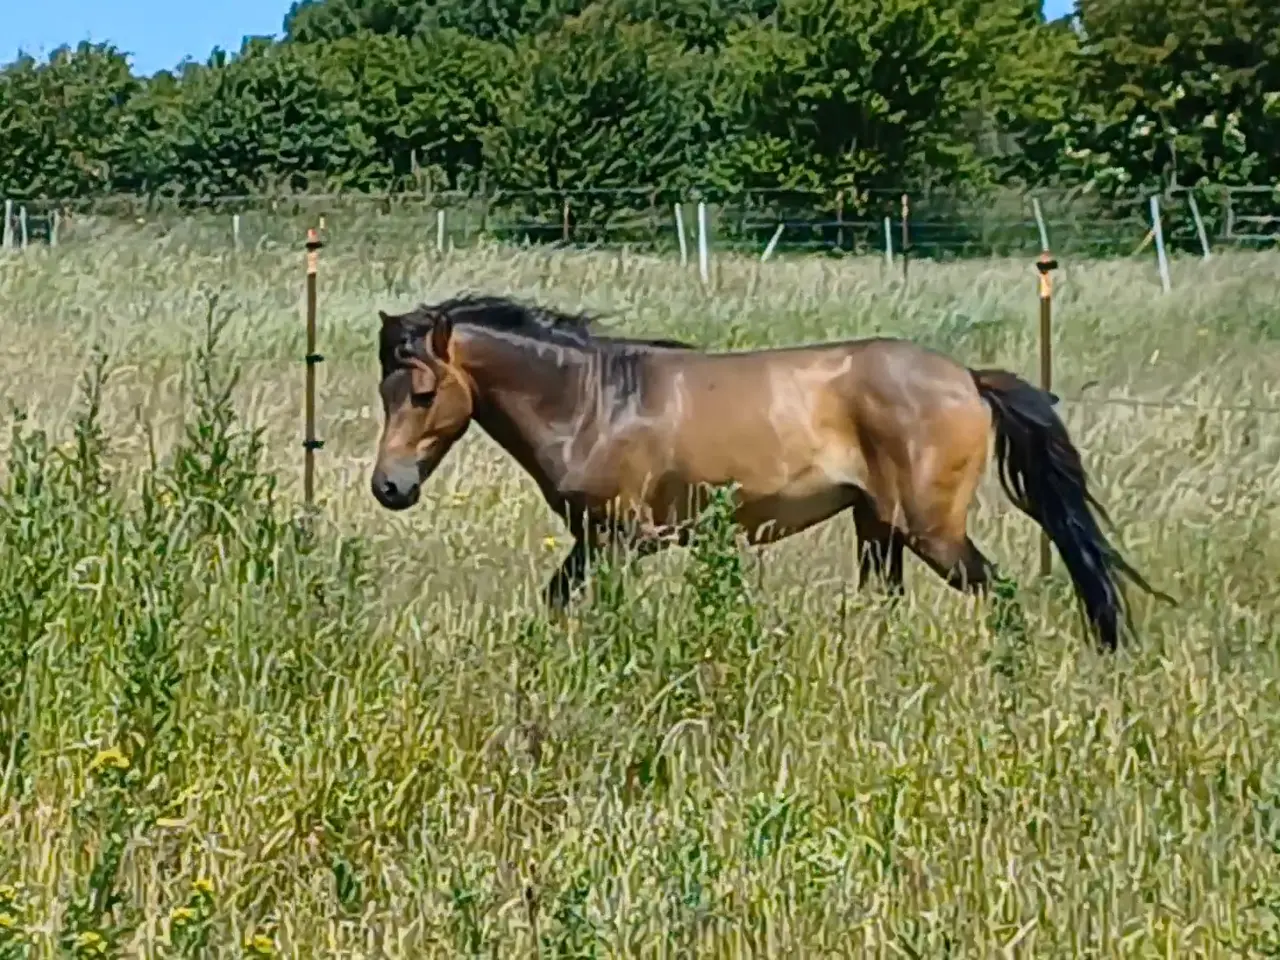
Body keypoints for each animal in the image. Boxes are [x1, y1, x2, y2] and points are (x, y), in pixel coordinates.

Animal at [369, 294, 1171, 652]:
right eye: (383, 390)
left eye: (422, 393)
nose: (390, 487)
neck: (594, 402)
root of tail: (968, 380)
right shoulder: (593, 542)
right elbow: (558, 600)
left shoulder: (615, 540)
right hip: (878, 528)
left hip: (930, 531)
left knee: (1000, 595)